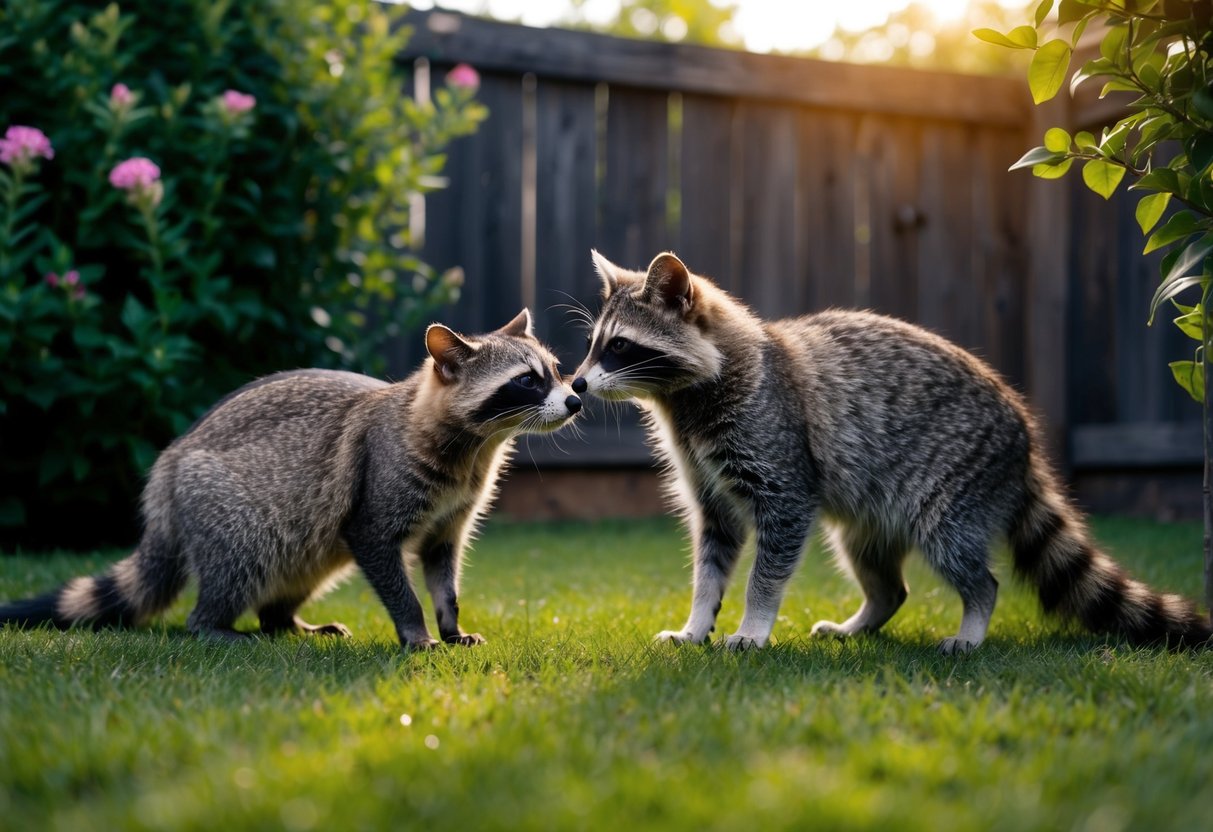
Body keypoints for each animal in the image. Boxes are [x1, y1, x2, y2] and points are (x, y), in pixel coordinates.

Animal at [0, 309, 583, 648]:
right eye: (527, 382)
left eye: (556, 370)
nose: (575, 400)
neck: (479, 443)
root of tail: (166, 468)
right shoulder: (382, 487)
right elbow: (384, 559)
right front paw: (416, 630)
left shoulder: (452, 512)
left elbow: (444, 568)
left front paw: (450, 622)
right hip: (222, 507)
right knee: (240, 564)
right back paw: (215, 626)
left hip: (308, 539)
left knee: (304, 563)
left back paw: (282, 620)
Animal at [571, 251, 1211, 652]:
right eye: (593, 345)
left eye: (620, 347)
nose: (575, 383)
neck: (682, 398)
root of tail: (1026, 436)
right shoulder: (706, 475)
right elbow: (712, 553)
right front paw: (697, 620)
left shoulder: (775, 450)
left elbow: (773, 553)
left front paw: (754, 623)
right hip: (870, 509)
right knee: (879, 570)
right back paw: (870, 614)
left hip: (953, 482)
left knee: (963, 558)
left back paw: (974, 618)